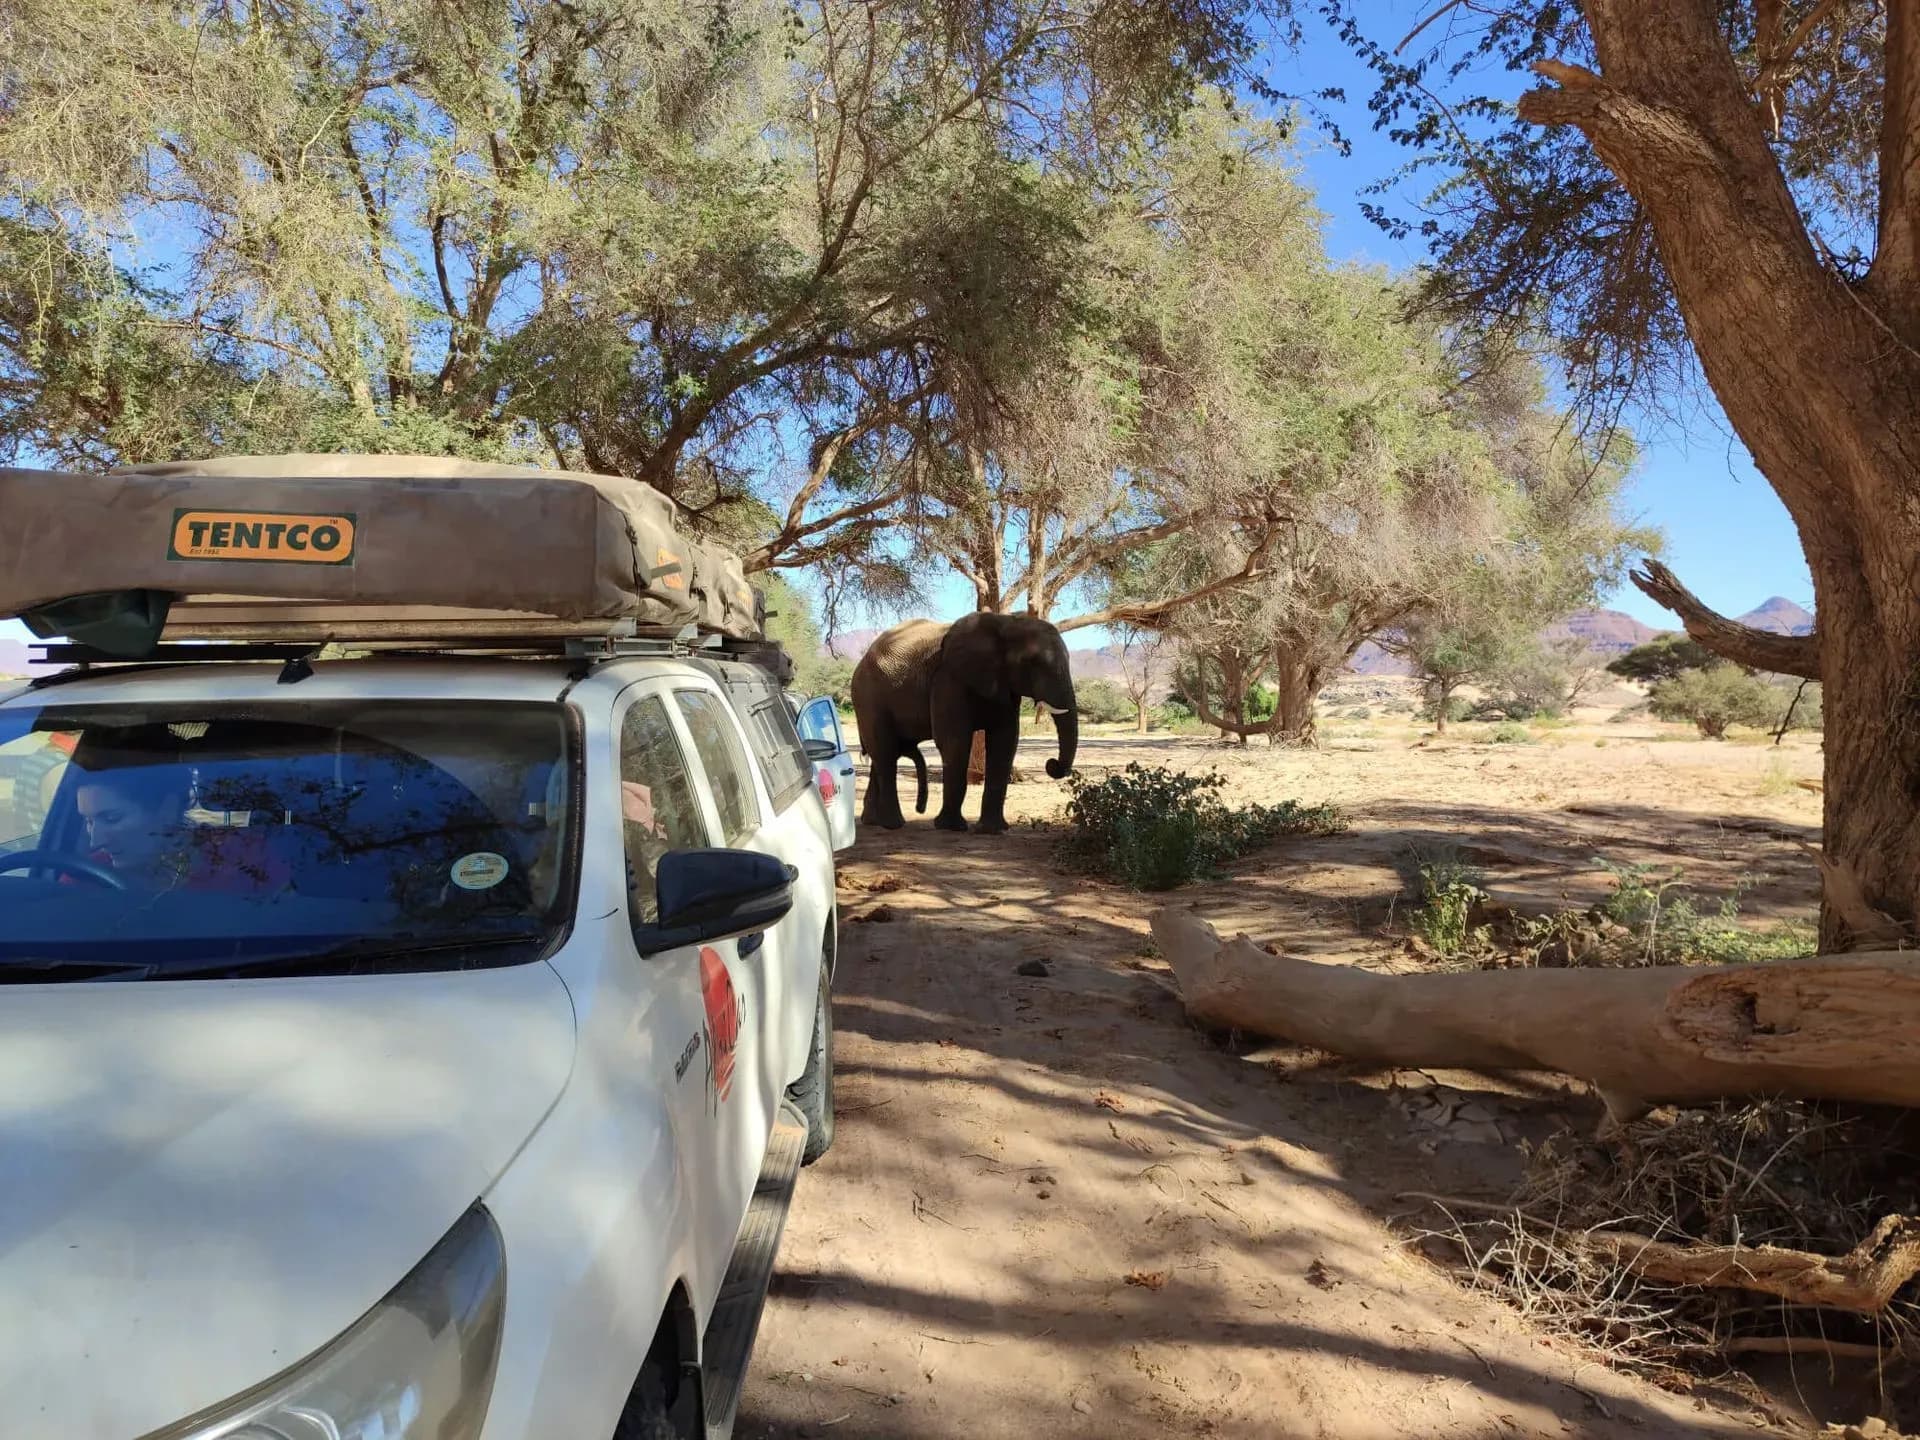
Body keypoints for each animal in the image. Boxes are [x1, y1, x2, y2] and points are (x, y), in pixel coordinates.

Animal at [850, 613, 1078, 834]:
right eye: (1032, 663)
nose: (1051, 764)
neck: (1006, 622)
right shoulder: (948, 679)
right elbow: (954, 741)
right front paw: (952, 827)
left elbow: (1005, 742)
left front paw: (991, 831)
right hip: (868, 698)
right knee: (886, 753)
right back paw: (894, 824)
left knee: (882, 754)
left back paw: (873, 821)